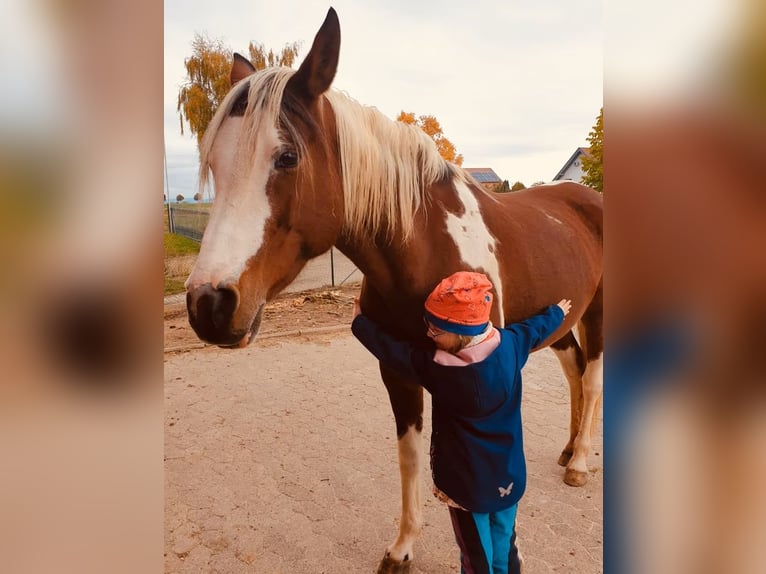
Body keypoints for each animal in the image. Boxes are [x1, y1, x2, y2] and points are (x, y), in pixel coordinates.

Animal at [183, 9, 604, 574]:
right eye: (215, 162)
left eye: (287, 156)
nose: (208, 304)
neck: (425, 245)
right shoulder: (398, 370)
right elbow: (409, 456)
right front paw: (403, 547)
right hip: (560, 320)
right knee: (575, 371)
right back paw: (567, 449)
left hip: (598, 311)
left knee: (594, 377)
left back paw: (579, 461)